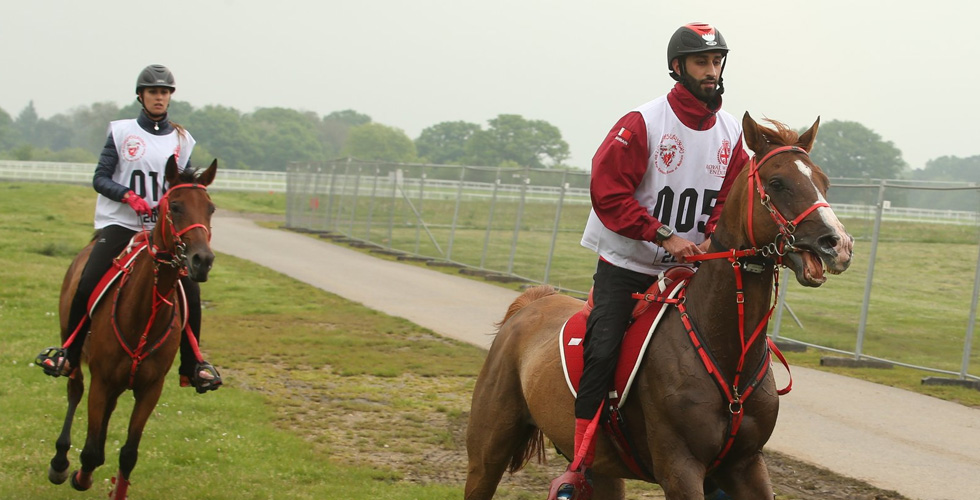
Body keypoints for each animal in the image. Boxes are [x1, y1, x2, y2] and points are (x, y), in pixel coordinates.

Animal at [46, 157, 218, 500]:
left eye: (211, 208)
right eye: (175, 205)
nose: (202, 260)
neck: (143, 315)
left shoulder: (150, 389)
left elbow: (128, 453)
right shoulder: (101, 381)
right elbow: (91, 452)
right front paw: (80, 476)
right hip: (75, 354)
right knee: (75, 389)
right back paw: (59, 463)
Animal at [464, 113, 852, 500]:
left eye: (824, 182)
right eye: (777, 182)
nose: (838, 244)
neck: (727, 353)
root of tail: (531, 303)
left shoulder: (746, 465)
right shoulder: (680, 469)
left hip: (605, 473)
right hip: (488, 452)